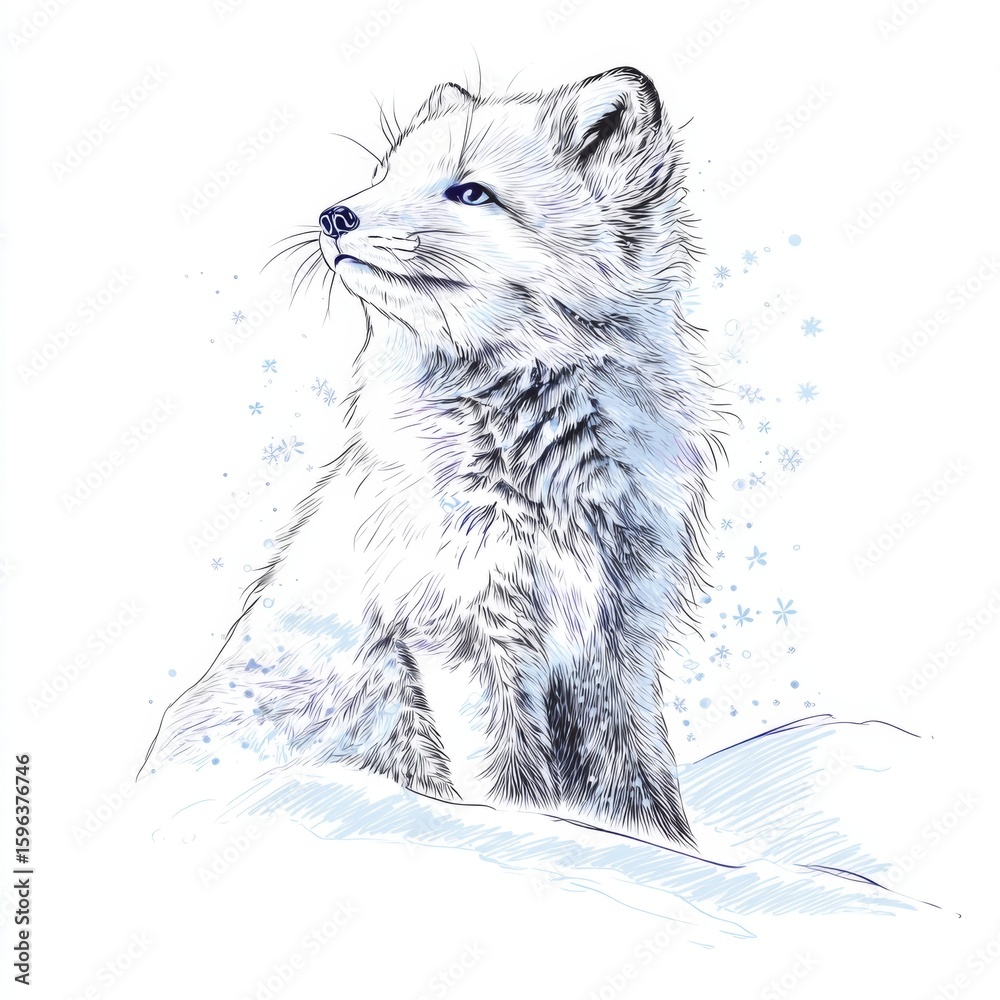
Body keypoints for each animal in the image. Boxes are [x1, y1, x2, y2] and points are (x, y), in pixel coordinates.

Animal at [141, 66, 723, 848]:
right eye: (387, 174)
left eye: (470, 192)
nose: (334, 216)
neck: (540, 464)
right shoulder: (461, 630)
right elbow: (511, 788)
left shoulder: (619, 641)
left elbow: (644, 791)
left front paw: (666, 851)